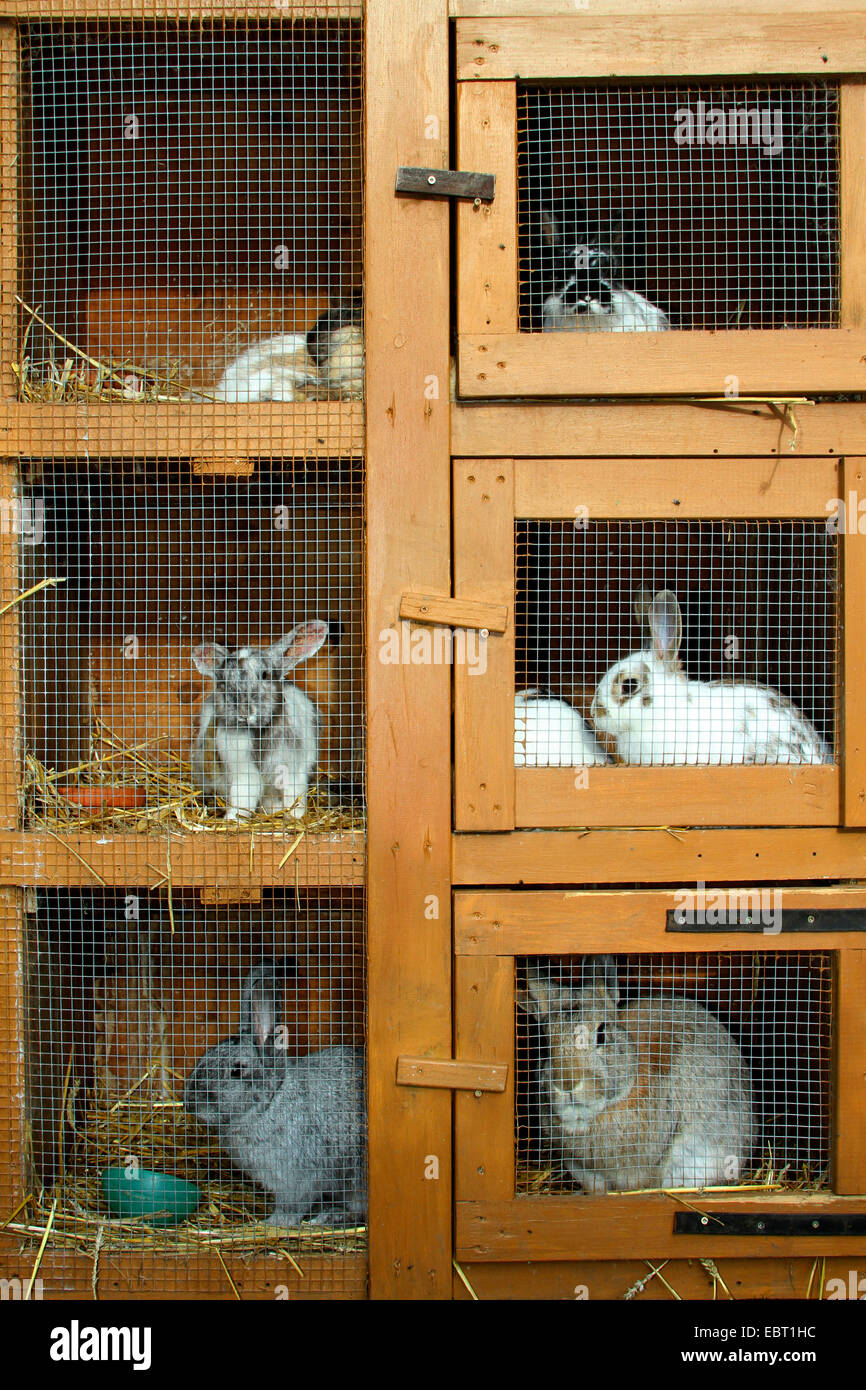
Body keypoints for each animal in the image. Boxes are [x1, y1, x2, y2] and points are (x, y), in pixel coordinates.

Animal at [184, 968, 366, 1226]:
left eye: (236, 1070)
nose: (189, 1102)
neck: (271, 1103)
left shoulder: (297, 1177)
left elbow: (291, 1207)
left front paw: (271, 1224)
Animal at [191, 621, 329, 822]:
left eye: (264, 675)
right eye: (223, 682)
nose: (244, 712)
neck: (259, 732)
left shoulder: (291, 768)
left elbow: (293, 794)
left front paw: (295, 816)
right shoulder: (242, 770)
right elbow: (242, 796)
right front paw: (234, 819)